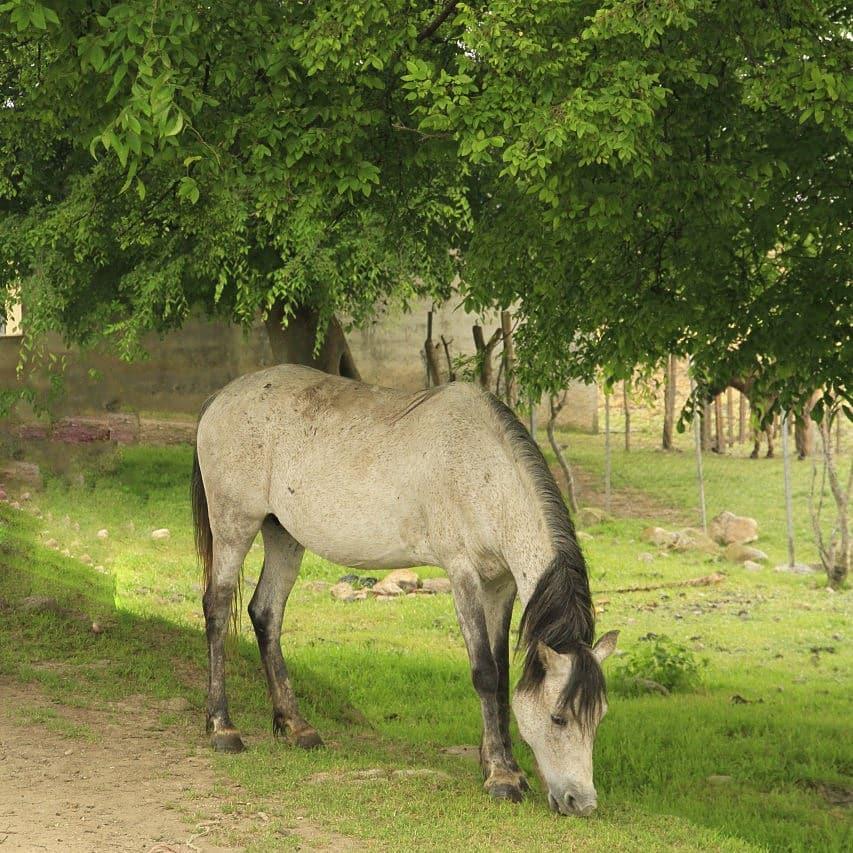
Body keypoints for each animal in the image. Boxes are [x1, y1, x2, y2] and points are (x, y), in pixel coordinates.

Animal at [191, 362, 620, 816]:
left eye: (599, 716)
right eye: (558, 717)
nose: (581, 802)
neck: (485, 473)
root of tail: (222, 397)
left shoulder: (499, 585)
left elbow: (503, 674)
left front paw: (502, 765)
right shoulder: (462, 573)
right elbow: (485, 672)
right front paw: (502, 778)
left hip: (284, 535)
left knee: (266, 613)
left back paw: (297, 727)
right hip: (234, 525)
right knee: (217, 609)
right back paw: (223, 729)